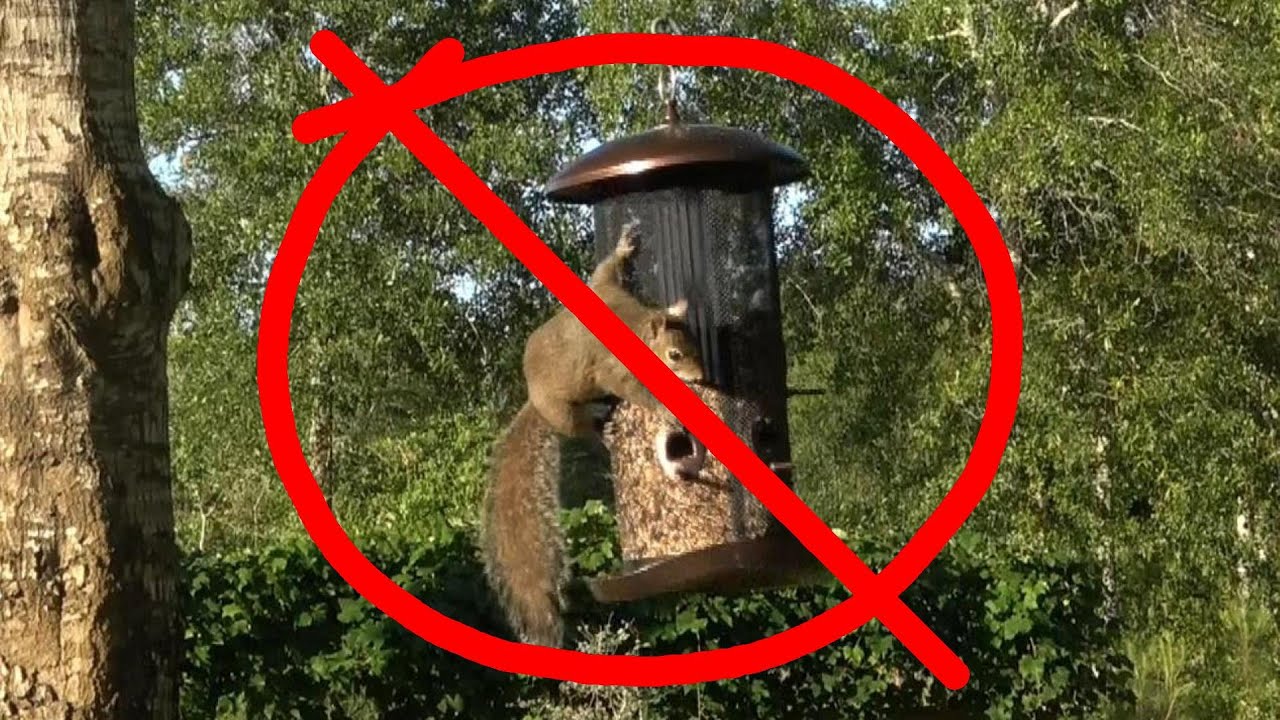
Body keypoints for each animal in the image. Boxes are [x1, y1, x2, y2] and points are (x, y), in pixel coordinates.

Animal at [480, 222, 707, 647]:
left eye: (697, 343)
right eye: (674, 356)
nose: (701, 378)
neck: (631, 323)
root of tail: (534, 403)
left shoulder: (606, 291)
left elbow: (603, 273)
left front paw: (627, 245)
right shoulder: (613, 368)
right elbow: (633, 390)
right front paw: (665, 406)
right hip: (565, 413)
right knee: (582, 427)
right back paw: (601, 427)